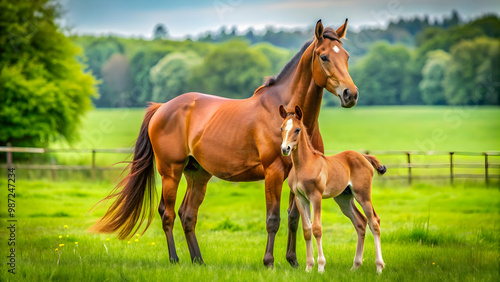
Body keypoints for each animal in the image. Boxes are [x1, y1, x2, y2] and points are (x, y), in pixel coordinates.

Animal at [90, 19, 360, 266]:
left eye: (346, 55)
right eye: (324, 56)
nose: (351, 94)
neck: (289, 117)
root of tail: (162, 107)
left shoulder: (299, 176)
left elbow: (295, 218)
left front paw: (293, 262)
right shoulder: (273, 173)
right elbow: (273, 219)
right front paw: (269, 262)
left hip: (198, 174)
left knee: (187, 215)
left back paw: (198, 260)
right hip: (170, 172)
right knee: (167, 213)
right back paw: (175, 259)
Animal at [280, 104, 388, 272]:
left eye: (297, 129)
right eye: (281, 128)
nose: (285, 148)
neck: (303, 165)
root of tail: (364, 157)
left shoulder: (316, 196)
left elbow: (317, 228)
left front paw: (320, 267)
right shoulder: (300, 198)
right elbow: (307, 230)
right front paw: (309, 267)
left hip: (362, 195)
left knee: (374, 222)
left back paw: (379, 267)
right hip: (344, 199)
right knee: (361, 222)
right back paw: (355, 266)